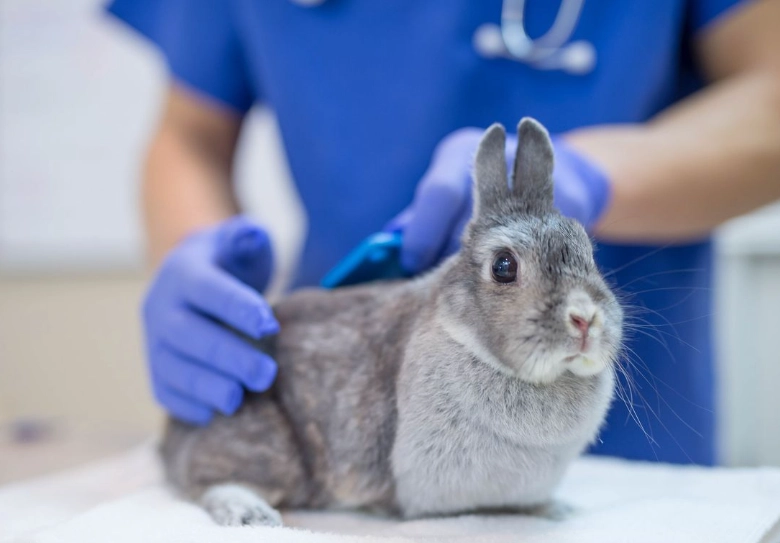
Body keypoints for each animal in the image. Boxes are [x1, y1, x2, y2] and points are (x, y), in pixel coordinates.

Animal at [159, 118, 623, 527]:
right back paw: (250, 513)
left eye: (589, 254)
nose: (585, 319)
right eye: (504, 266)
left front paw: (556, 509)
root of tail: (172, 438)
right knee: (209, 482)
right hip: (268, 446)